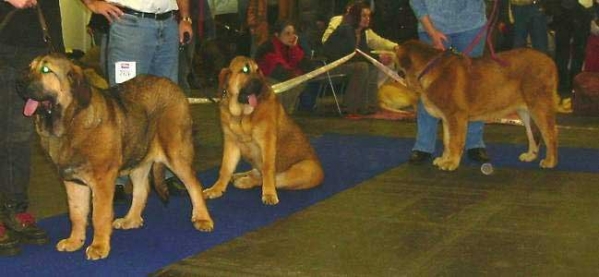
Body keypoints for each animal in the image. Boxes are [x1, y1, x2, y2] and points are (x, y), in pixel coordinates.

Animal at [17, 54, 214, 258]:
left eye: (46, 70)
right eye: (29, 68)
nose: (19, 82)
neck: (70, 120)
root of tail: (174, 86)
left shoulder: (102, 181)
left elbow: (99, 215)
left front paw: (99, 246)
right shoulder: (73, 181)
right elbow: (76, 213)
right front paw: (74, 241)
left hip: (176, 153)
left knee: (194, 185)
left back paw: (202, 219)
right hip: (138, 157)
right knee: (142, 190)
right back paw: (131, 220)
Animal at [203, 56, 326, 204]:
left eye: (258, 71)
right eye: (244, 70)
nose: (260, 84)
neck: (242, 115)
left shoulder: (267, 142)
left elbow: (268, 169)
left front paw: (269, 194)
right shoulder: (231, 144)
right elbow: (225, 168)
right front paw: (216, 189)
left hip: (305, 169)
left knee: (271, 178)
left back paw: (245, 182)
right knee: (255, 172)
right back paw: (239, 176)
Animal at [396, 40, 560, 170]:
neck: (428, 68)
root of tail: (550, 60)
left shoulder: (456, 116)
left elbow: (455, 141)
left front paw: (451, 163)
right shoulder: (447, 119)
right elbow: (447, 141)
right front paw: (444, 159)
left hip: (539, 106)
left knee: (550, 133)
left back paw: (550, 161)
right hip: (525, 111)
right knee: (532, 133)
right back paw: (530, 156)